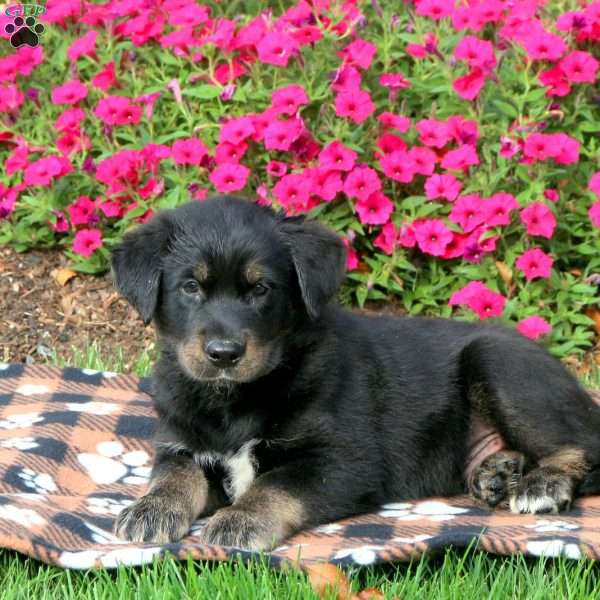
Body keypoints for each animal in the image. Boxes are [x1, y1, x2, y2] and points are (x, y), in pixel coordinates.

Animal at [110, 196, 600, 548]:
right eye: (190, 287)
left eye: (261, 289)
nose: (224, 353)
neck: (233, 399)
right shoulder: (179, 443)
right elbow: (174, 474)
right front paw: (151, 510)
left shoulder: (343, 461)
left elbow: (274, 484)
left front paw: (241, 520)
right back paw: (497, 473)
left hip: (498, 361)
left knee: (582, 445)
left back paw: (542, 484)